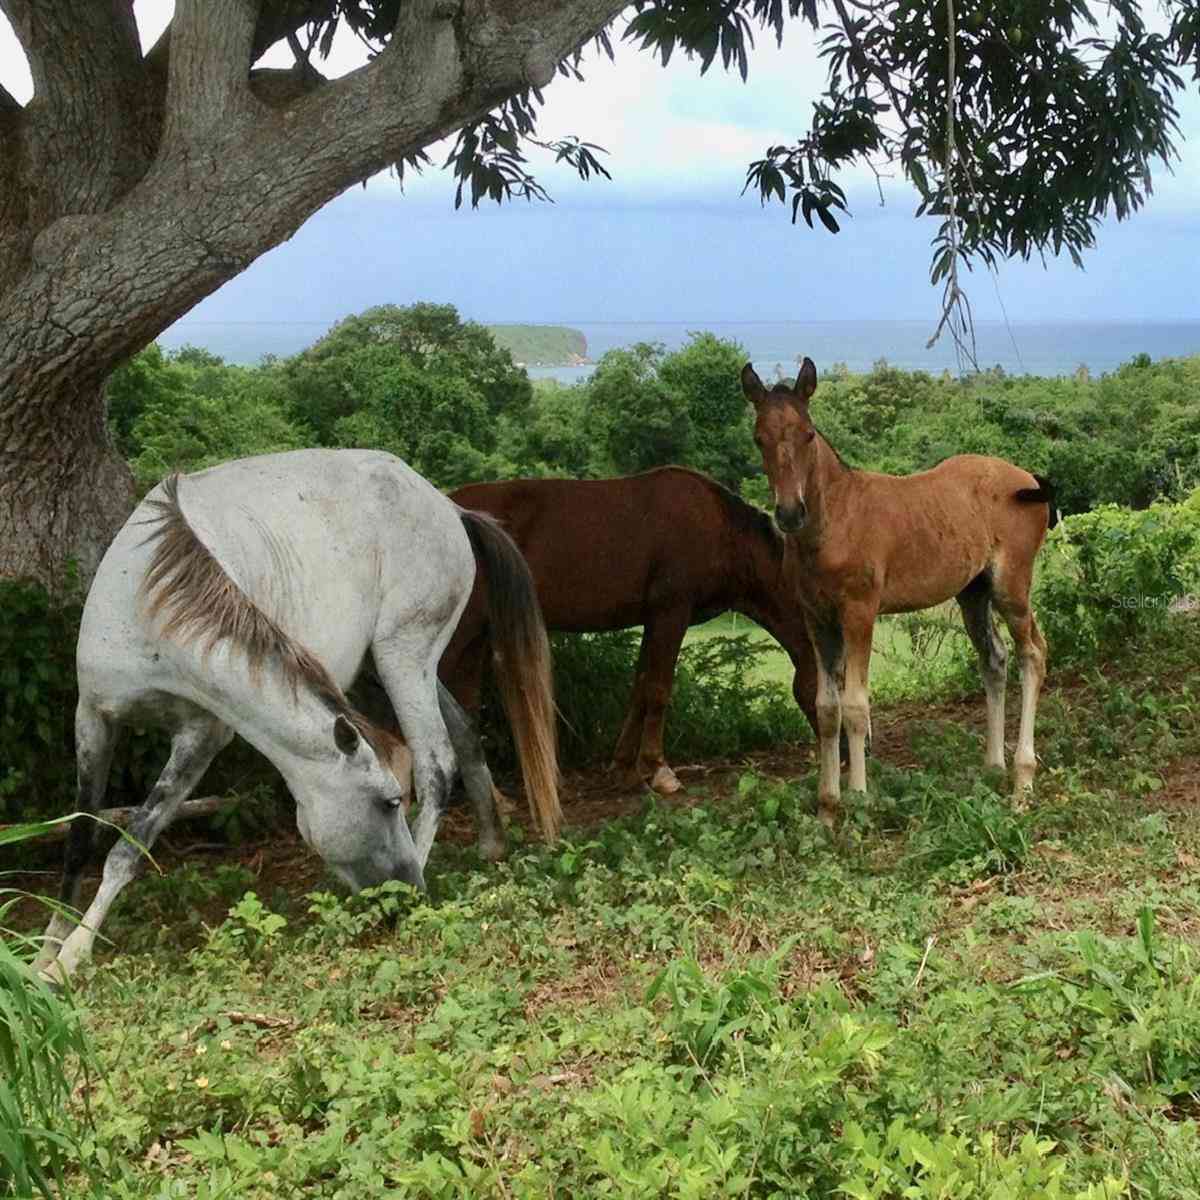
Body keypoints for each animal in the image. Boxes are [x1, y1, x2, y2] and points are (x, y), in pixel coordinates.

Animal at [35, 446, 559, 979]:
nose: (412, 892)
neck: (152, 605)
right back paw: (490, 843)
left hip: (404, 658)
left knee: (436, 765)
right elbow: (80, 837)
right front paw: (47, 949)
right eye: (389, 802)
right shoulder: (93, 718)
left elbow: (131, 842)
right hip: (387, 666)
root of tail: (450, 509)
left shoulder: (201, 736)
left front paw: (71, 956)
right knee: (460, 736)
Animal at [441, 468, 825, 796]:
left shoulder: (653, 620)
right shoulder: (671, 613)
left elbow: (640, 688)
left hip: (476, 635)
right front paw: (658, 769)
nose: (840, 752)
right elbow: (658, 689)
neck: (720, 529)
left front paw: (625, 768)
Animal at [744, 355, 1056, 825]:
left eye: (808, 433)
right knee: (995, 659)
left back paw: (1022, 783)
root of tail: (1029, 480)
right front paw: (827, 809)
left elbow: (856, 706)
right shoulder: (816, 617)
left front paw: (859, 800)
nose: (790, 513)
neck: (833, 522)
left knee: (1032, 653)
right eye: (759, 437)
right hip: (973, 593)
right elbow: (827, 708)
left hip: (1011, 585)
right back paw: (992, 767)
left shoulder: (859, 611)